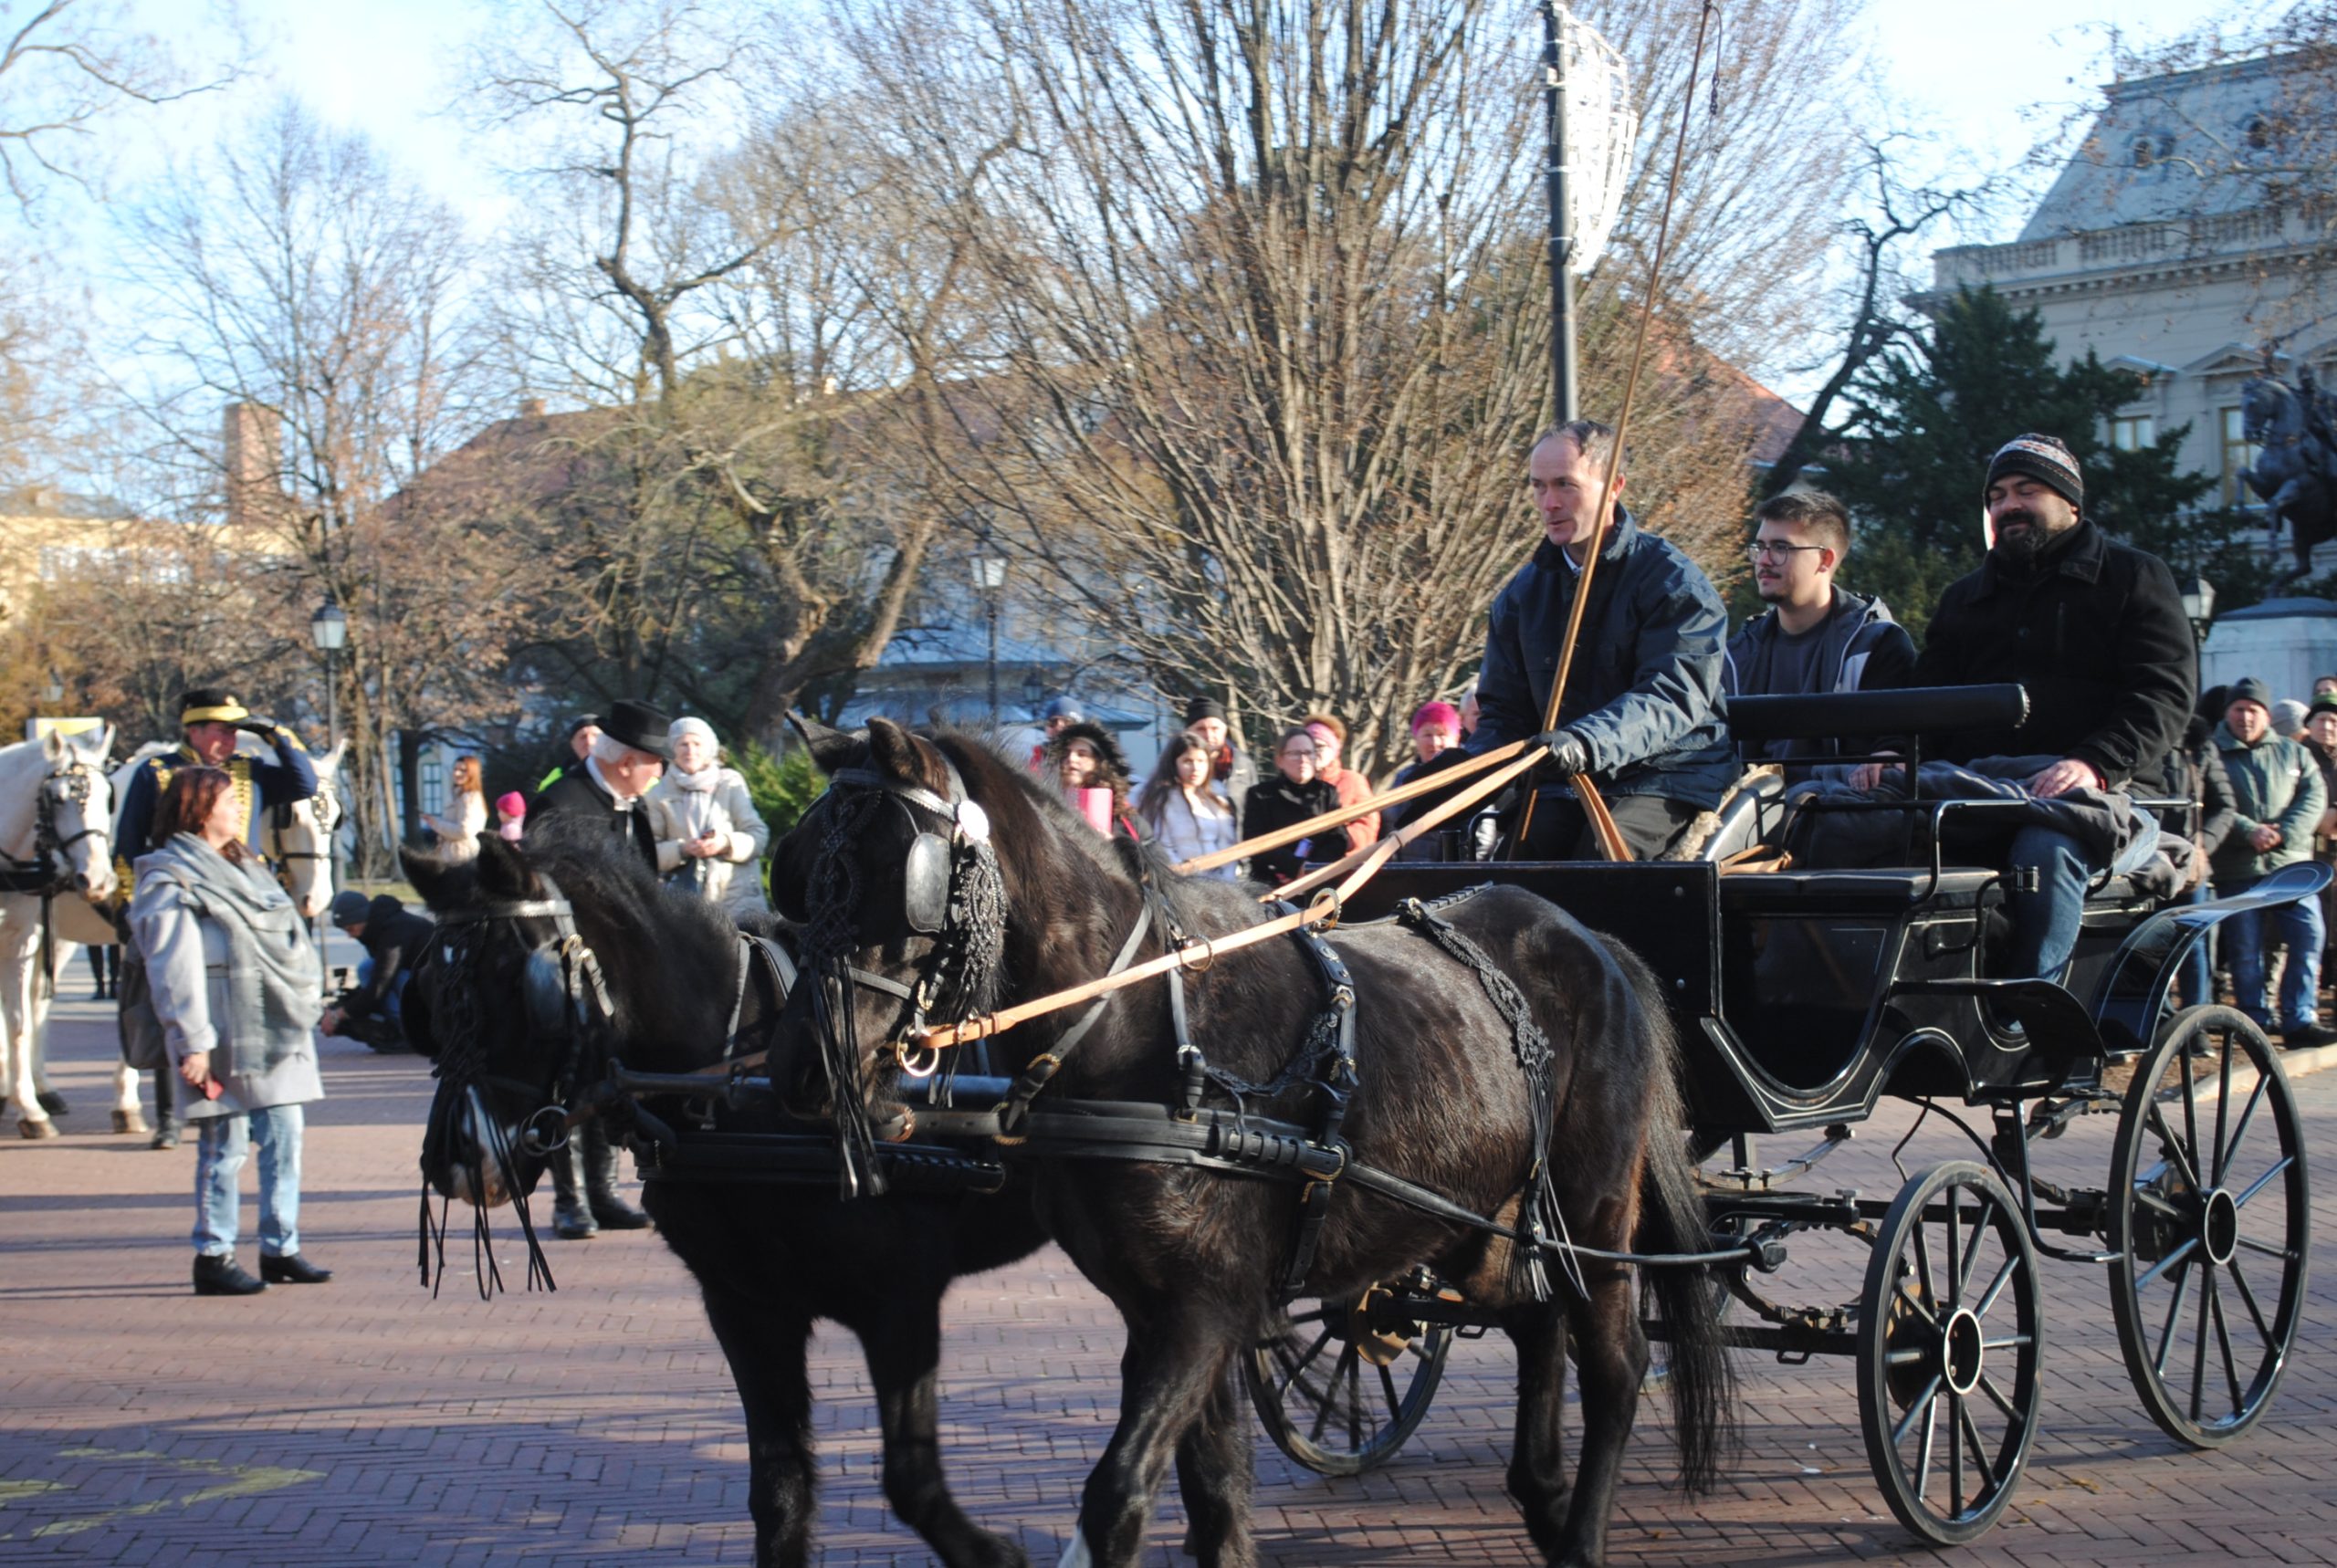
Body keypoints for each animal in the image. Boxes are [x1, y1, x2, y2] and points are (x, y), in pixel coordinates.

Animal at [0, 724, 119, 1140]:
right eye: (57, 797)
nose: (97, 879)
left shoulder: (20, 940)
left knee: (37, 1005)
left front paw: (30, 1111)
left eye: (108, 796)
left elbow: (18, 1023)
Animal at [409, 827, 1052, 1561]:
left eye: (515, 982)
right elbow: (779, 1492)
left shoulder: (902, 1299)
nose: (452, 1159)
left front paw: (996, 1553)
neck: (745, 1092)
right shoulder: (745, 1306)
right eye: (426, 988)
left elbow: (911, 1479)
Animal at [775, 724, 1747, 1568]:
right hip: (1503, 1220)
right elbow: (1213, 1492)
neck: (1146, 1026)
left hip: (1597, 1208)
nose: (800, 1070)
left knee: (1614, 1365)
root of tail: (1596, 941)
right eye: (800, 877)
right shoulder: (1160, 1307)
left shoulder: (1206, 1305)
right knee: (1538, 1321)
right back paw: (1544, 1498)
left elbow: (1120, 1493)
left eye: (894, 878)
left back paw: (1580, 1532)